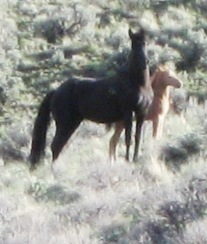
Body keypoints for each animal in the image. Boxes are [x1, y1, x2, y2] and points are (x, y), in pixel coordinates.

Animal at [29, 28, 152, 170]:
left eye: (144, 43)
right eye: (133, 45)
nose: (144, 62)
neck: (137, 83)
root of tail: (56, 91)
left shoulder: (142, 113)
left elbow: (137, 138)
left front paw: (135, 160)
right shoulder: (128, 113)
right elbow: (128, 139)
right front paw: (127, 160)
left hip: (72, 123)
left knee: (57, 146)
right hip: (66, 124)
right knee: (56, 145)